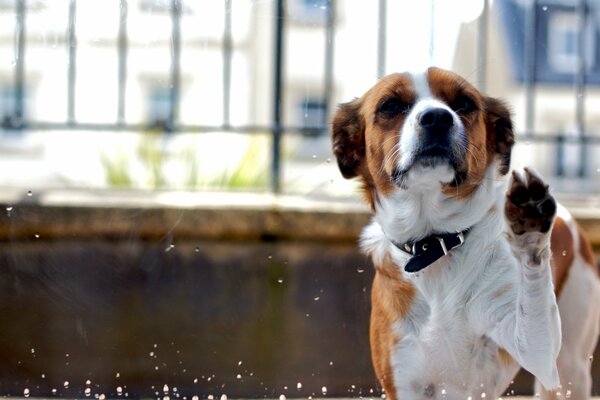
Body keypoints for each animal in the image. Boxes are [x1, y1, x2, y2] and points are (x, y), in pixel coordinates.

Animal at [330, 67, 600, 398]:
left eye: (464, 103)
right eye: (390, 106)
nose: (437, 117)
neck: (436, 245)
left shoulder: (537, 352)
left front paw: (530, 230)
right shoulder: (403, 378)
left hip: (570, 367)